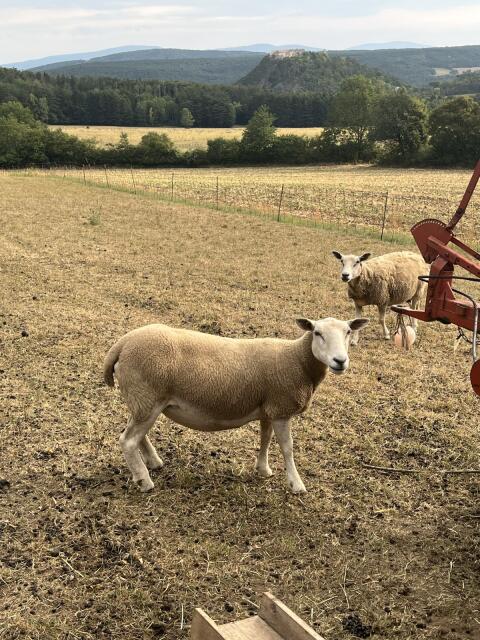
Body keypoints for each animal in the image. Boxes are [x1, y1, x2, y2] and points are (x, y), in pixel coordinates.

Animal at [103, 317, 369, 494]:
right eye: (317, 333)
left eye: (348, 332)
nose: (340, 361)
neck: (298, 360)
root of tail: (121, 344)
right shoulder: (281, 409)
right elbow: (287, 448)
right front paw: (296, 484)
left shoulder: (269, 408)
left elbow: (265, 439)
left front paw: (263, 469)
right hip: (147, 397)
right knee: (128, 440)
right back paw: (144, 481)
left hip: (143, 399)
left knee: (135, 434)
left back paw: (153, 463)